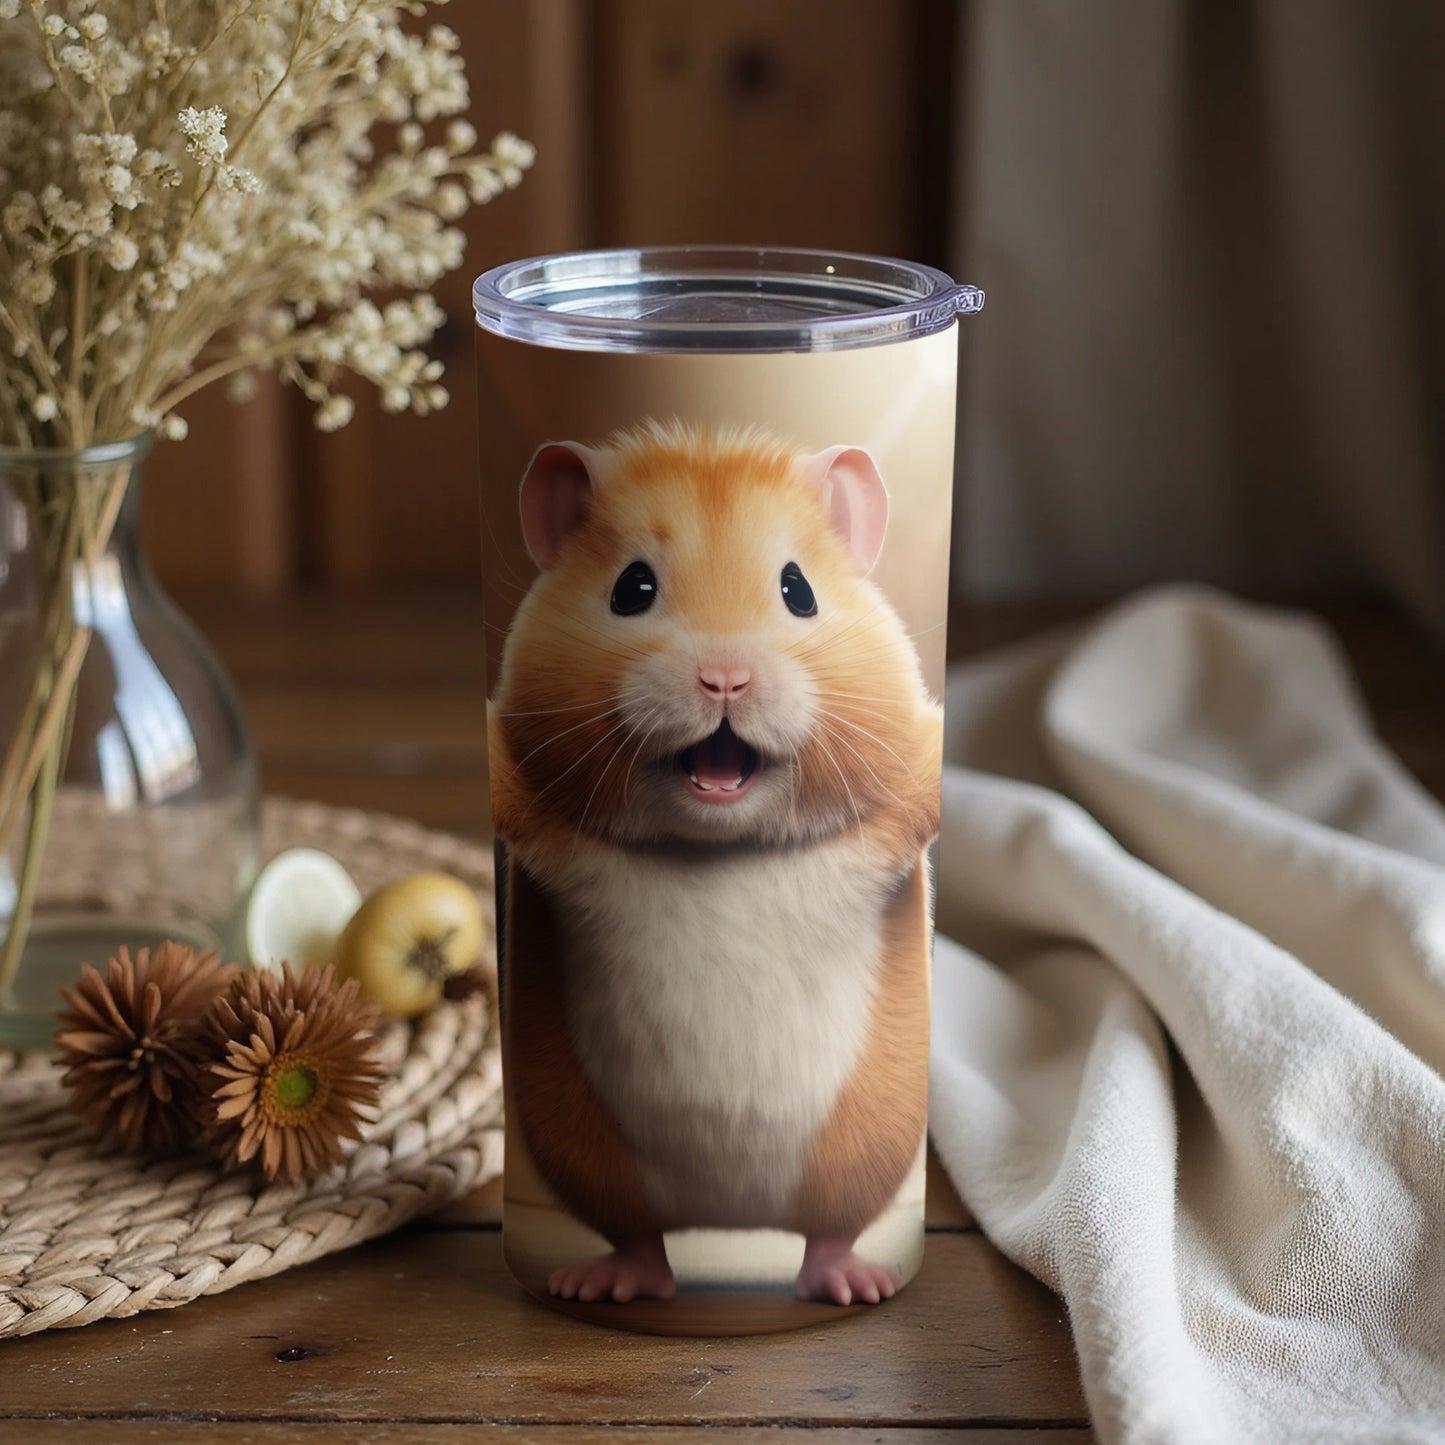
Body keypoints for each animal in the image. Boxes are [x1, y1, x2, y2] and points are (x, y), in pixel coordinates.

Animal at [489, 420, 942, 1308]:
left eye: (798, 590)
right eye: (631, 588)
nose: (724, 678)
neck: (717, 844)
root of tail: (732, 1223)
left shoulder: (887, 819)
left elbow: (918, 790)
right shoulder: (540, 813)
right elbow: (511, 789)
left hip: (864, 1139)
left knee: (828, 1233)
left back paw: (856, 1284)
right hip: (586, 1147)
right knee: (638, 1237)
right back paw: (597, 1284)